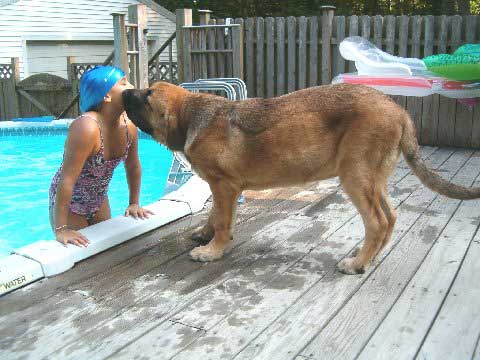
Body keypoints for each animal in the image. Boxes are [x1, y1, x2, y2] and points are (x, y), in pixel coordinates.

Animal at [122, 81, 480, 272]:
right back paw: (370, 257)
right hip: (374, 179)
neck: (194, 114)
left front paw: (212, 251)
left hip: (355, 176)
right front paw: (205, 234)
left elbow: (223, 220)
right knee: (390, 218)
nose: (124, 92)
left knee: (377, 223)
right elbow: (215, 215)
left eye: (147, 95)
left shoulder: (224, 185)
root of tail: (400, 112)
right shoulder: (221, 187)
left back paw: (356, 264)